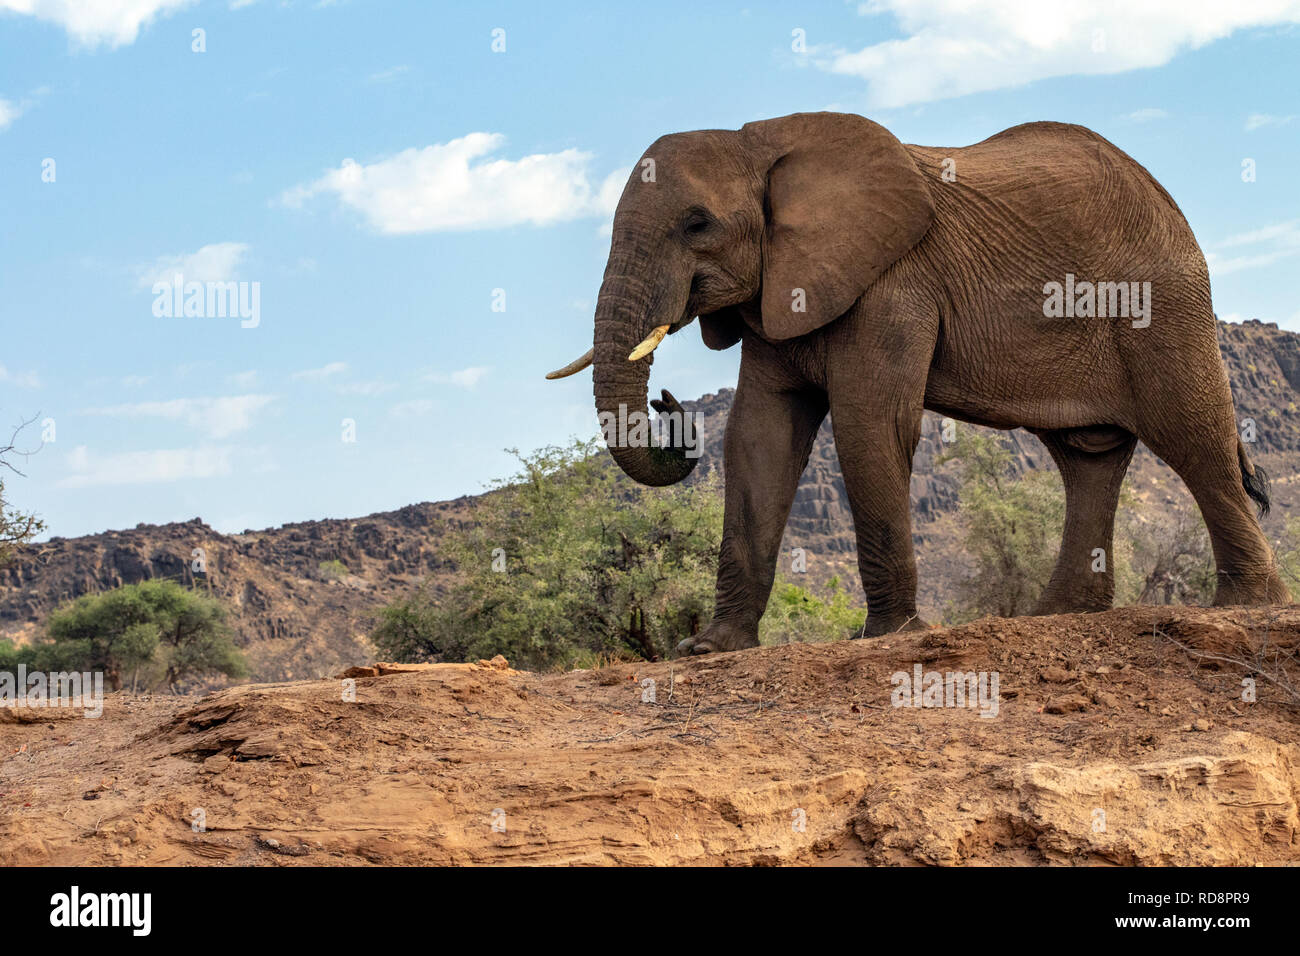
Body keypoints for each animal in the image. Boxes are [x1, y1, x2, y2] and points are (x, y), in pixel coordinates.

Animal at [543, 110, 1284, 650]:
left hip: (1162, 301)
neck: (761, 142)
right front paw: (710, 649)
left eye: (697, 224)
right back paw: (1053, 616)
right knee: (1087, 455)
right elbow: (761, 437)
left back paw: (1246, 605)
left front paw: (887, 635)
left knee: (1192, 437)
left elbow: (870, 424)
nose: (670, 405)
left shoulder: (892, 284)